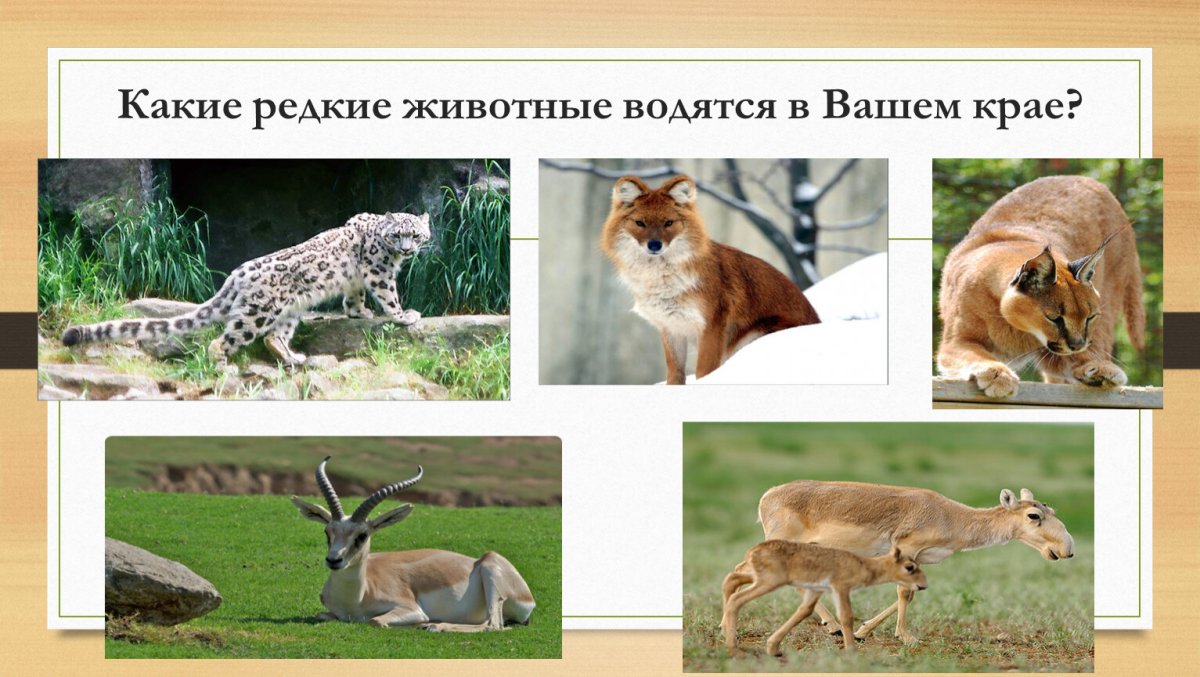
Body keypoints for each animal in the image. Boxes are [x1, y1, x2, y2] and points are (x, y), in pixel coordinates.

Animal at [290, 456, 536, 632]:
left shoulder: (411, 608)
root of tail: (528, 595)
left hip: (490, 571)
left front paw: (422, 623)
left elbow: (375, 621)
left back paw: (435, 625)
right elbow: (322, 615)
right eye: (327, 531)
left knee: (492, 625)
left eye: (362, 535)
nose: (334, 560)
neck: (356, 598)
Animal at [722, 542, 927, 655]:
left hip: (760, 579)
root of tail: (753, 551)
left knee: (732, 580)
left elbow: (804, 611)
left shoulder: (816, 591)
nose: (923, 585)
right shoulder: (841, 588)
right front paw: (851, 650)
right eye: (909, 567)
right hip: (769, 582)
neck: (863, 565)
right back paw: (733, 648)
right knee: (736, 599)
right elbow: (846, 617)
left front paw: (773, 648)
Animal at [724, 481, 1074, 644]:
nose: (1067, 549)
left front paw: (863, 630)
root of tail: (766, 496)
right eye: (1034, 515)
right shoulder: (906, 547)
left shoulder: (918, 559)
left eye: (1052, 510)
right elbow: (904, 592)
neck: (952, 517)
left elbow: (911, 592)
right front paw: (907, 637)